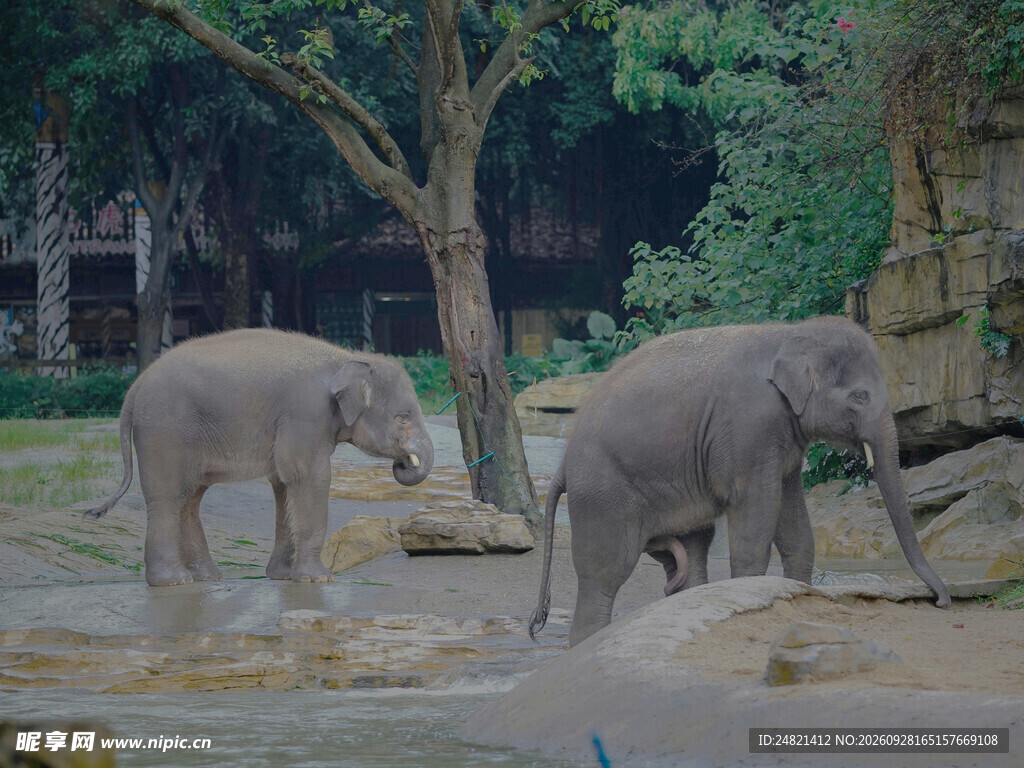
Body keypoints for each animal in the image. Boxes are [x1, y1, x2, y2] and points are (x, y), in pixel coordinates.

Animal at [87, 328, 433, 586]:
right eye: (403, 417)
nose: (403, 462)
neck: (346, 358)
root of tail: (134, 388)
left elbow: (283, 483)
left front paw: (282, 576)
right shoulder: (304, 414)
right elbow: (309, 476)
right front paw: (318, 579)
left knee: (189, 498)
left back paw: (206, 578)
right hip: (165, 431)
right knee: (167, 497)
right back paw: (174, 581)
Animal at [529, 316, 950, 646]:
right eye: (860, 396)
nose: (941, 602)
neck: (788, 333)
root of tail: (563, 464)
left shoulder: (782, 437)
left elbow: (794, 524)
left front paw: (800, 596)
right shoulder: (750, 428)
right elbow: (755, 515)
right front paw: (753, 594)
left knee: (691, 552)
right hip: (603, 495)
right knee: (606, 573)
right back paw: (588, 642)